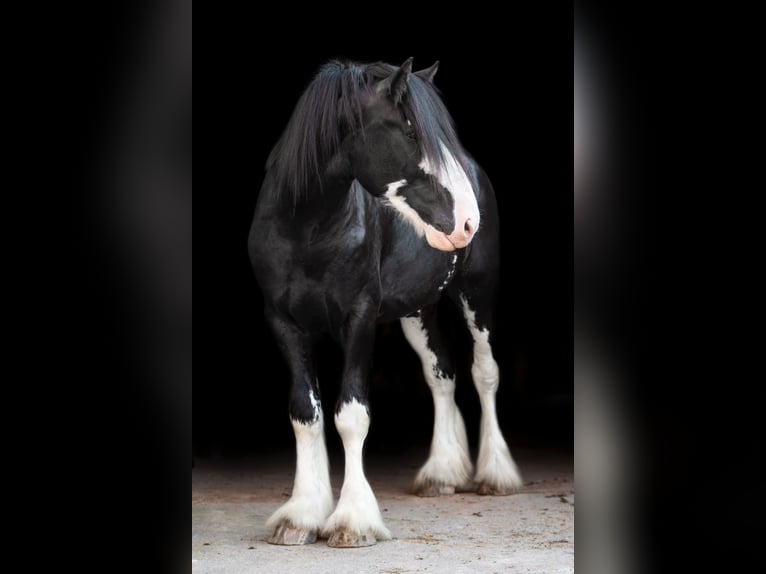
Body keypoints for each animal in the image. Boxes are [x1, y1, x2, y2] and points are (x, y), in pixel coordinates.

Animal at [249, 58, 524, 548]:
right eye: (411, 131)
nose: (468, 221)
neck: (307, 227)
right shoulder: (283, 322)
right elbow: (305, 413)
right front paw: (301, 516)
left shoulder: (359, 317)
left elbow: (351, 414)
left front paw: (352, 521)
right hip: (416, 312)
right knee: (441, 375)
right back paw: (441, 473)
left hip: (476, 295)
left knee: (484, 372)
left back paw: (495, 475)